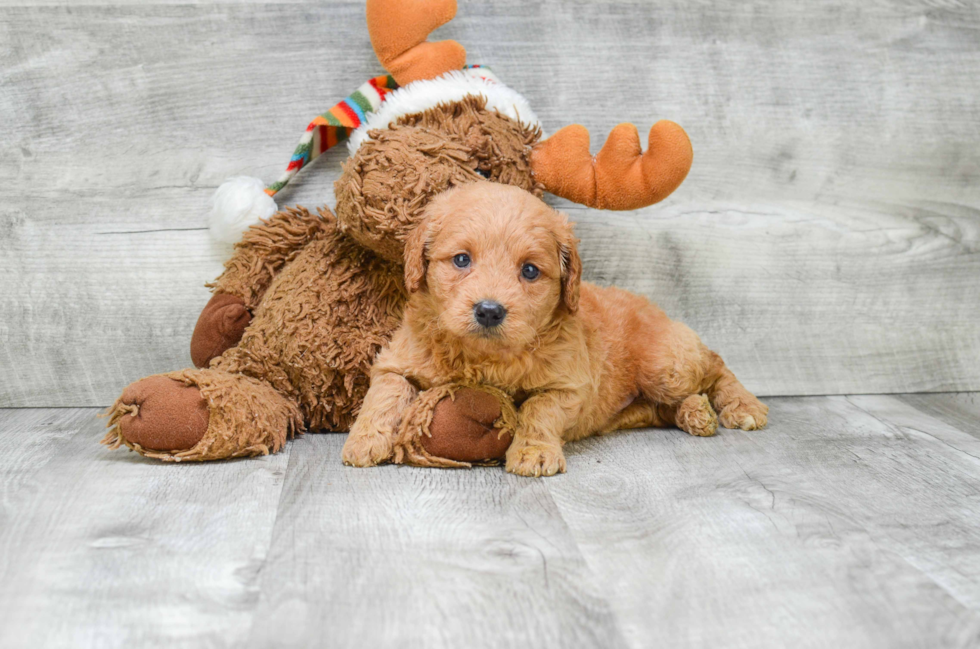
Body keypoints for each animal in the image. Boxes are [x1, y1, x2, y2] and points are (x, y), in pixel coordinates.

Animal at [342, 182, 764, 476]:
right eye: (461, 260)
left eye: (530, 270)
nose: (489, 311)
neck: (485, 357)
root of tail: (656, 309)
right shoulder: (397, 359)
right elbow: (386, 392)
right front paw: (364, 440)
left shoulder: (568, 385)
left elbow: (537, 409)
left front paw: (533, 452)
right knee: (666, 407)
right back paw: (696, 413)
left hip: (665, 366)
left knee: (715, 365)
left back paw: (742, 405)